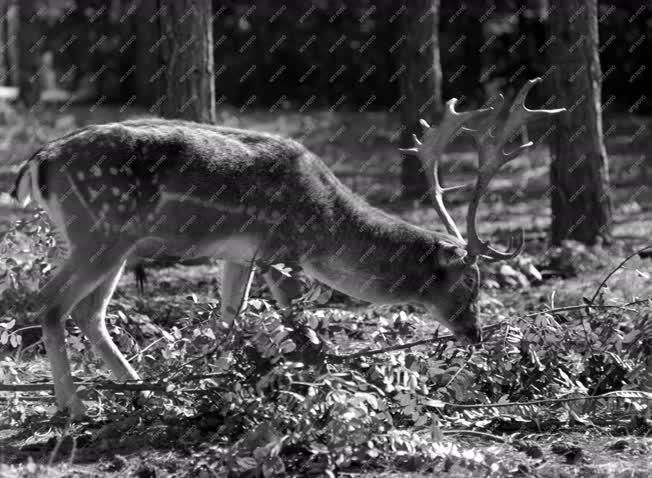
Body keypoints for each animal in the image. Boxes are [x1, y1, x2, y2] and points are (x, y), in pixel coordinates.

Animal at [10, 77, 564, 414]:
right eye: (469, 281)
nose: (476, 333)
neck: (329, 221)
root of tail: (39, 160)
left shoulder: (238, 254)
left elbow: (227, 321)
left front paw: (215, 385)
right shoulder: (283, 250)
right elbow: (302, 330)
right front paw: (320, 387)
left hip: (116, 242)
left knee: (89, 312)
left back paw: (143, 391)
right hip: (100, 229)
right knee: (50, 300)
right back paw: (74, 407)